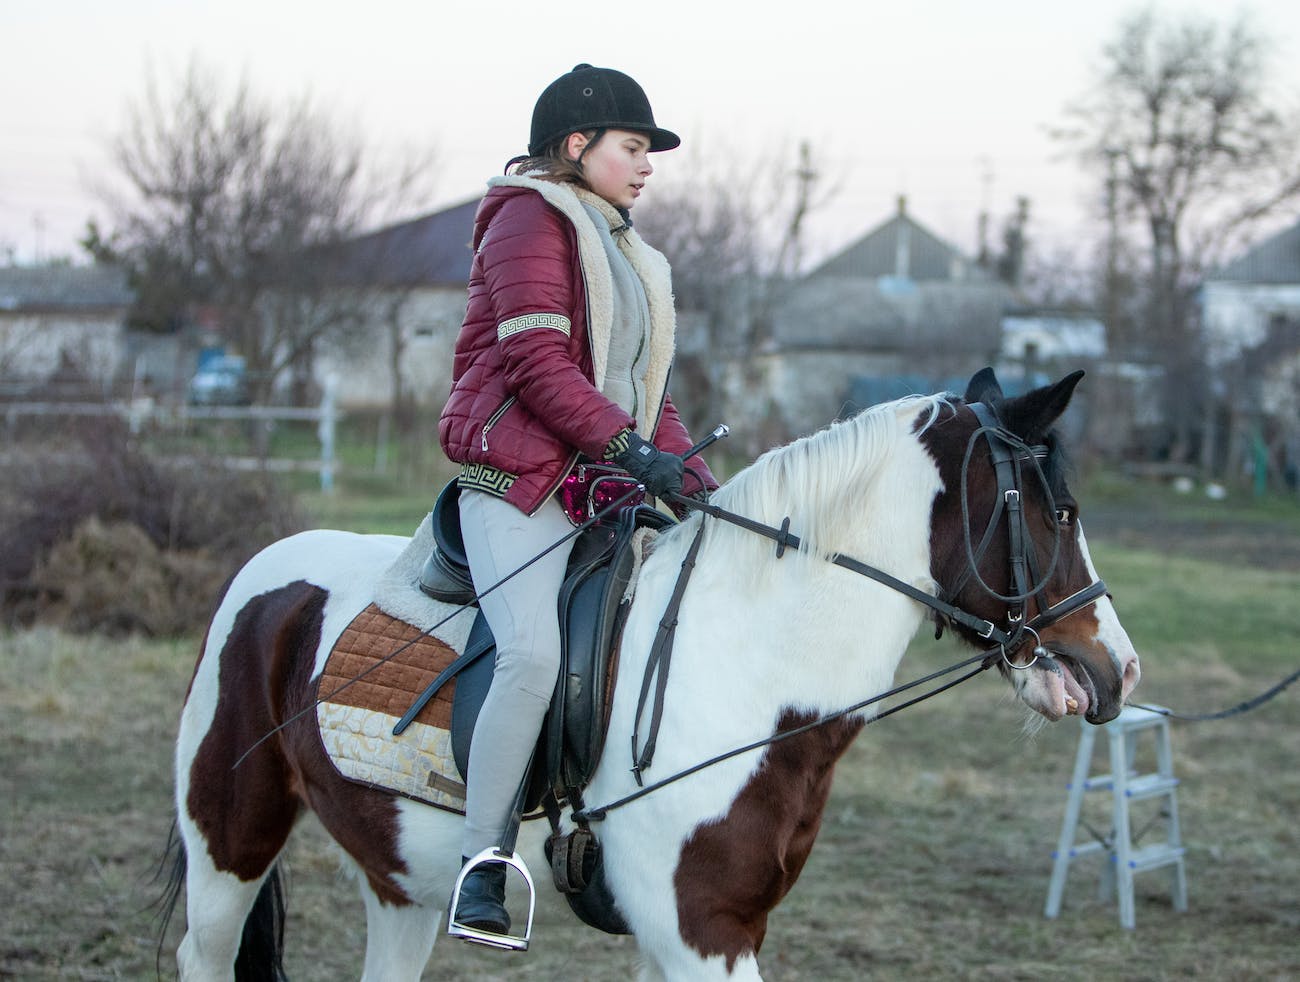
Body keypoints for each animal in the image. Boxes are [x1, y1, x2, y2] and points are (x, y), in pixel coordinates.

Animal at [159, 369, 1138, 982]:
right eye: (1060, 512)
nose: (1117, 670)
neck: (742, 665)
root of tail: (267, 569)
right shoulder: (702, 932)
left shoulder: (709, 933)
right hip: (229, 841)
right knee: (205, 952)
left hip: (401, 882)